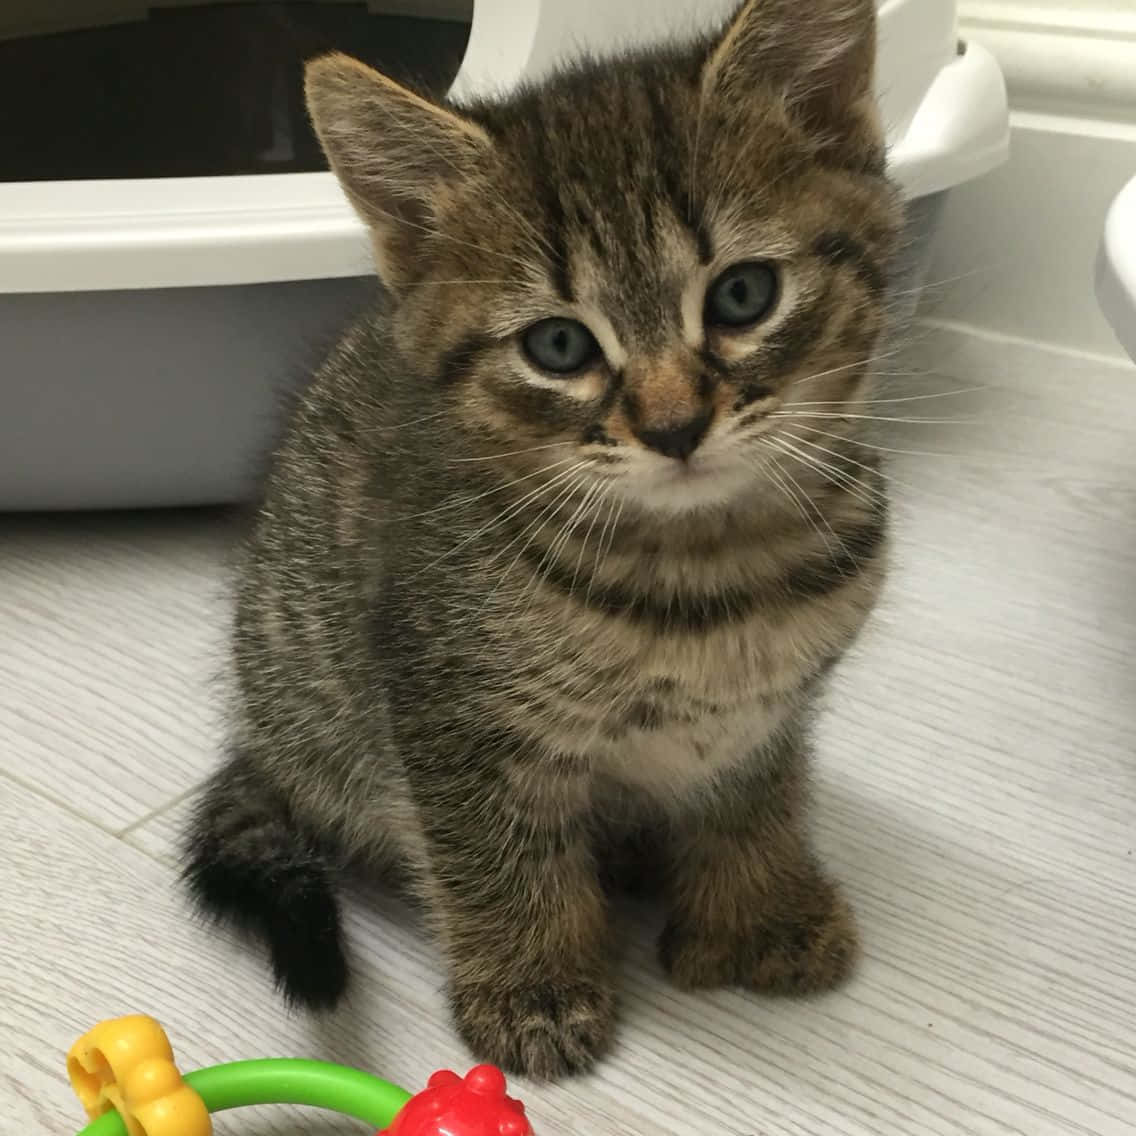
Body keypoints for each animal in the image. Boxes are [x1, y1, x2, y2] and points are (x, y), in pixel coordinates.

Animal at [186, 0, 904, 1076]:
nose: (673, 425)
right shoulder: (446, 707)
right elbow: (495, 852)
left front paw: (759, 910)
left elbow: (757, 799)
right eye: (558, 346)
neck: (710, 568)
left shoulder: (769, 708)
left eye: (742, 295)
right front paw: (532, 983)